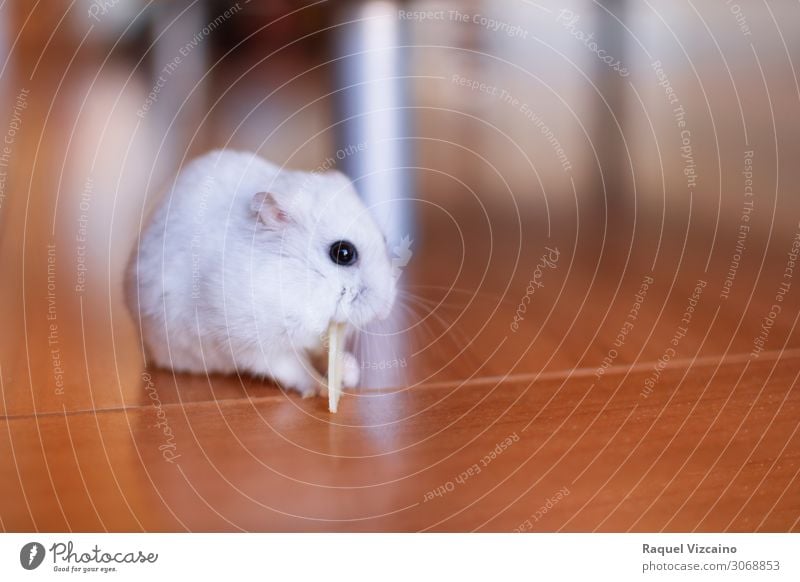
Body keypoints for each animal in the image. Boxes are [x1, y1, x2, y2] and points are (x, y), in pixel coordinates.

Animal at [126, 148, 396, 400]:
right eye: (343, 253)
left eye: (384, 239)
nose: (385, 311)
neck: (301, 278)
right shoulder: (255, 343)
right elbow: (294, 368)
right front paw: (322, 388)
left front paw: (349, 372)